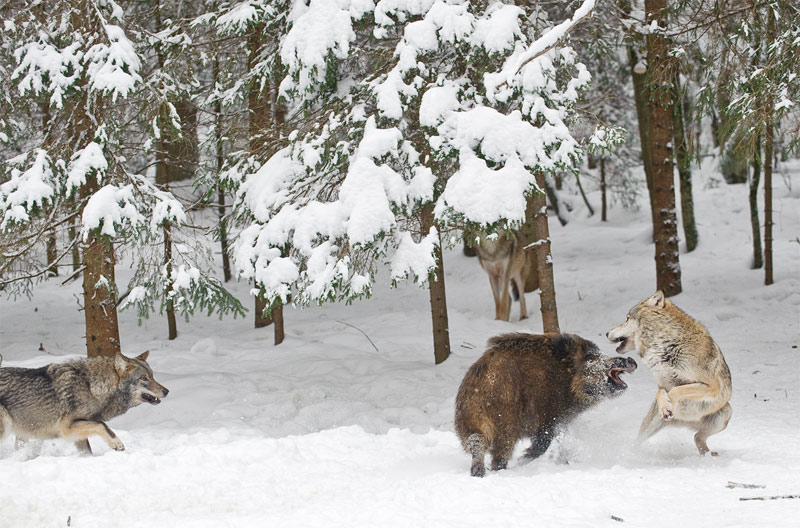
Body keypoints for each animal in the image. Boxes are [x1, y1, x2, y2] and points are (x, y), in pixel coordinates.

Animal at [0, 350, 169, 454]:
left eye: (152, 376)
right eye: (144, 378)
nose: (166, 391)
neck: (90, 386)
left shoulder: (79, 434)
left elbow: (88, 451)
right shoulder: (67, 428)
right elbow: (103, 425)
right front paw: (116, 443)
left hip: (23, 436)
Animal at [456, 334, 636, 478]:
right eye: (589, 357)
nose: (630, 360)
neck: (567, 378)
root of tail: (484, 383)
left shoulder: (562, 421)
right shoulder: (550, 417)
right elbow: (543, 443)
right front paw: (522, 459)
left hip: (469, 422)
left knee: (476, 442)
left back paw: (478, 473)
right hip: (506, 425)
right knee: (498, 455)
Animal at [608, 290, 732, 456]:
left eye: (627, 318)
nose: (606, 333)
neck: (663, 346)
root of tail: (683, 421)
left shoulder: (712, 387)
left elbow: (676, 390)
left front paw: (668, 406)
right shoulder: (662, 383)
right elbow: (662, 392)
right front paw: (665, 406)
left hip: (725, 414)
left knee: (697, 437)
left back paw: (708, 456)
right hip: (650, 427)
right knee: (638, 442)